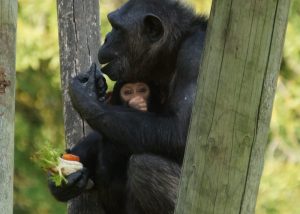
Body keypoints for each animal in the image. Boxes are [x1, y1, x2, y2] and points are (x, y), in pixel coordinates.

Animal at [49, 0, 207, 213]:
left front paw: (85, 95)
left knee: (146, 166)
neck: (169, 53)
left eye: (116, 28)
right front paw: (62, 180)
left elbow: (180, 129)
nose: (107, 38)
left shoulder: (196, 55)